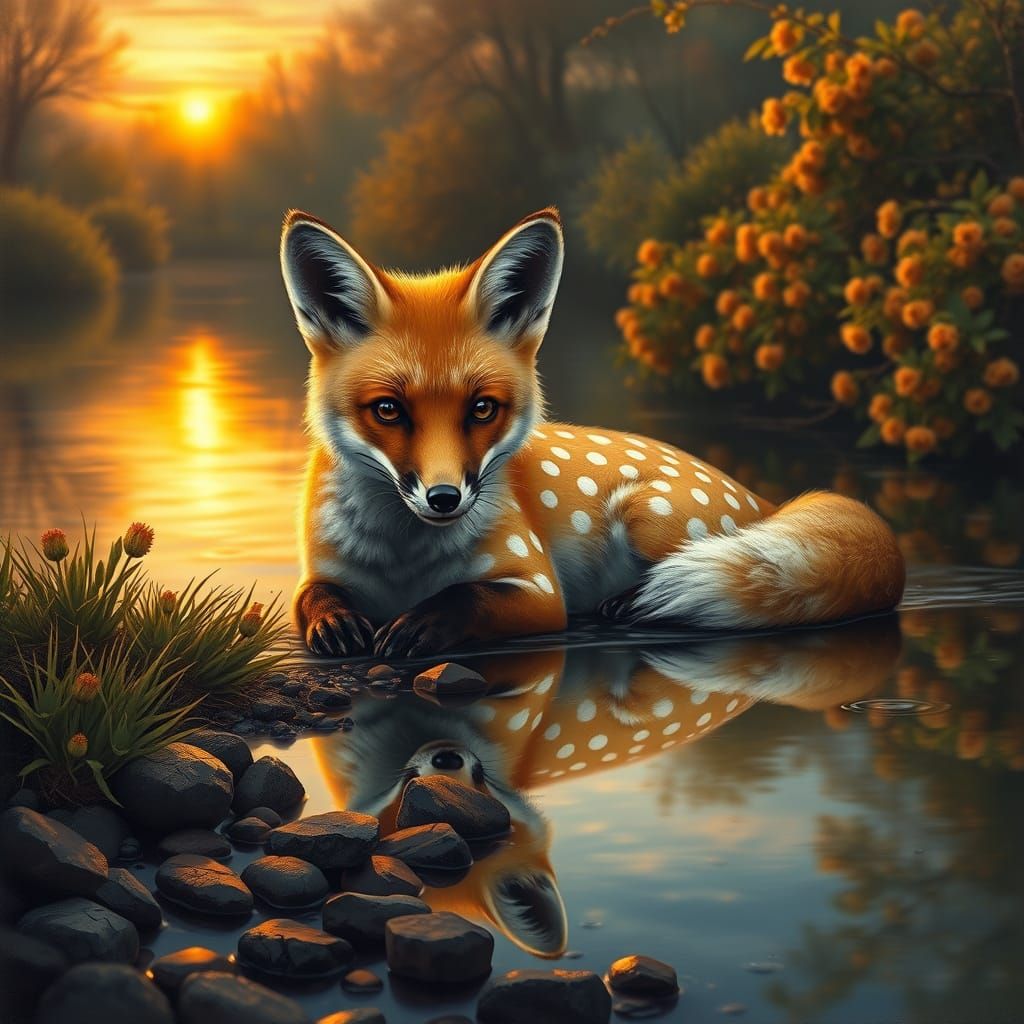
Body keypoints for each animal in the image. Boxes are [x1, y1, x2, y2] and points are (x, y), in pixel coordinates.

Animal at [280, 207, 906, 658]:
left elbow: (466, 597)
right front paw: (336, 622)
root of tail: (768, 500)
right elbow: (310, 597)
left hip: (647, 514)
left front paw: (420, 624)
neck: (402, 563)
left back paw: (636, 601)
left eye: (482, 409)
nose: (444, 498)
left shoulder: (538, 590)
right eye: (388, 411)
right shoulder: (321, 571)